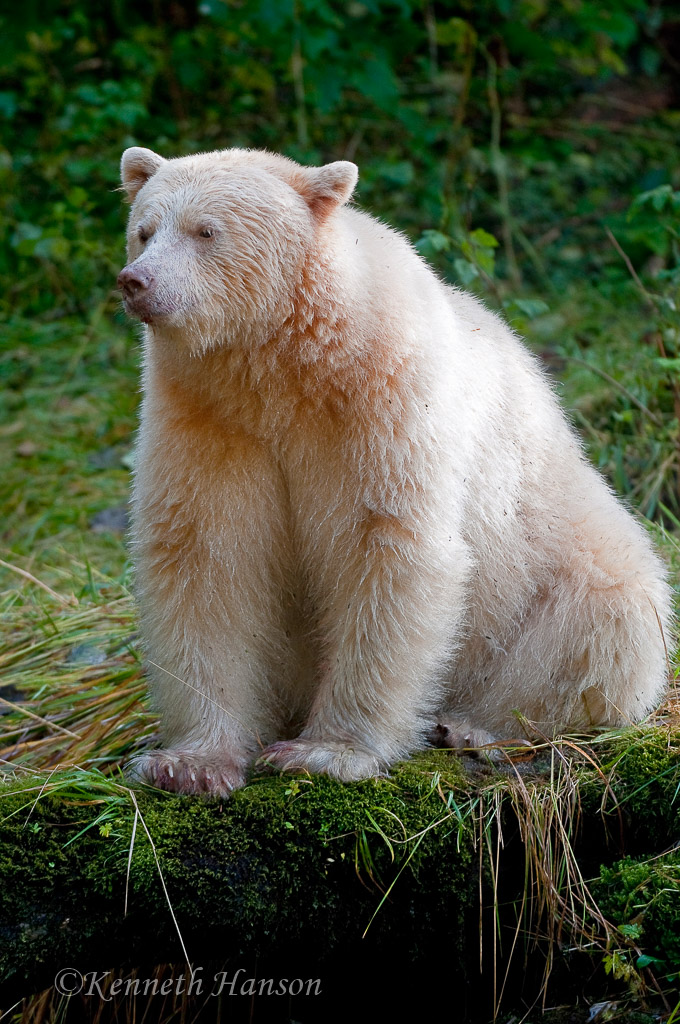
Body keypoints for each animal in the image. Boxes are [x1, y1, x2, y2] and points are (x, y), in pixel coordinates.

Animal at [118, 146, 675, 798]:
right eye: (144, 230)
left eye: (206, 231)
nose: (137, 281)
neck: (281, 364)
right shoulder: (208, 417)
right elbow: (205, 556)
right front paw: (190, 762)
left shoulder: (381, 400)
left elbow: (384, 545)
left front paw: (325, 752)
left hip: (560, 552)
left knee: (602, 623)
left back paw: (476, 726)